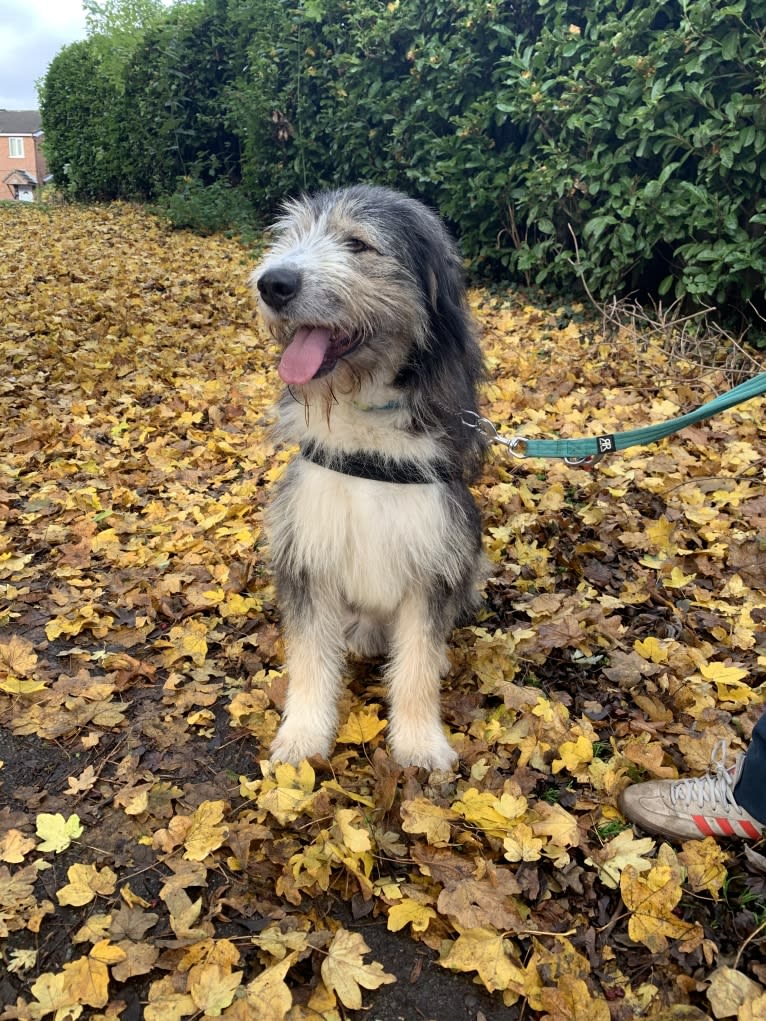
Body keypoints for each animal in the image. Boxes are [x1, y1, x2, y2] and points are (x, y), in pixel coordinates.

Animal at [253, 187, 486, 767]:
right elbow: (311, 659)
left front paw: (420, 741)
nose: (272, 283)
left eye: (357, 243)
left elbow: (418, 663)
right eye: (290, 236)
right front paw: (304, 735)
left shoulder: (436, 556)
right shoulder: (308, 551)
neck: (367, 439)